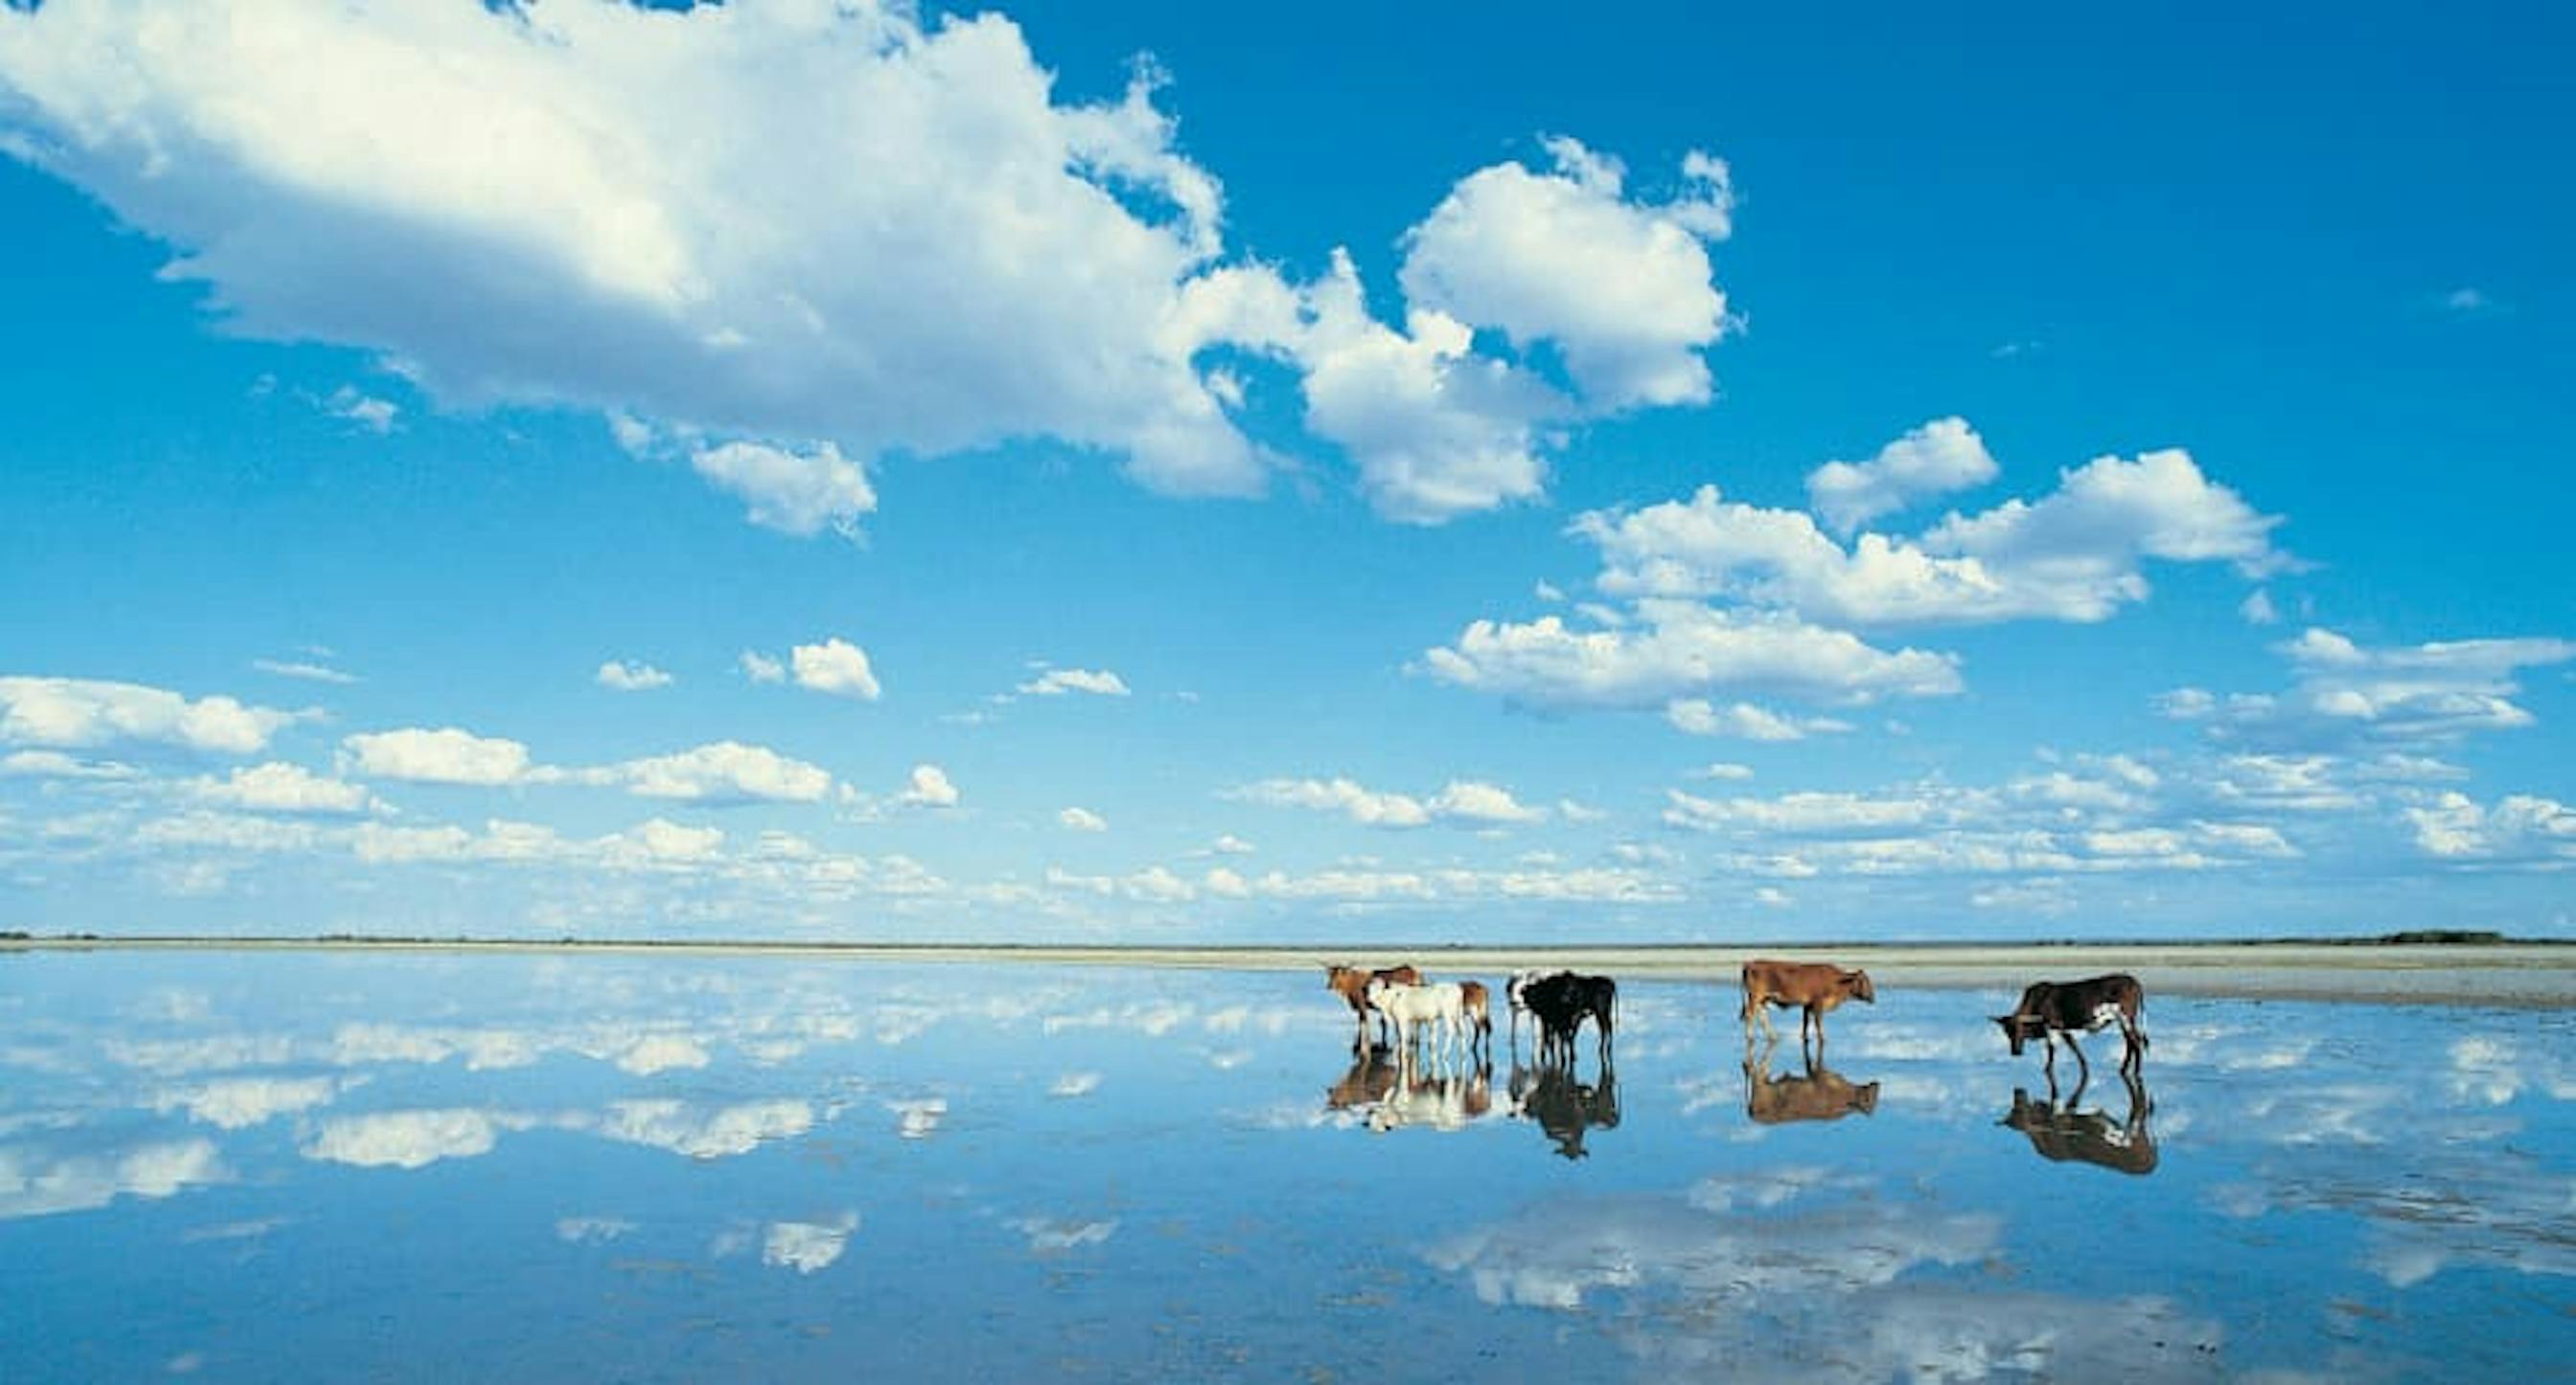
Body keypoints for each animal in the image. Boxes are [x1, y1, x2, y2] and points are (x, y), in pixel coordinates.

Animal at [1741, 958, 1885, 1045]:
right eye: (1864, 981)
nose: (1872, 997)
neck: (1837, 981)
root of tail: (1751, 963)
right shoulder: (1817, 1004)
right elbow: (1818, 1022)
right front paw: (1822, 1038)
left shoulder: (1807, 1005)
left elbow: (1806, 1022)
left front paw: (1805, 1037)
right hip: (1755, 997)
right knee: (1750, 1014)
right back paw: (1750, 1037)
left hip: (1763, 999)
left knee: (1762, 1016)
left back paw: (1773, 1037)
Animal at [1741, 1045, 1885, 1122]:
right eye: (1867, 1100)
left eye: (1876, 1098)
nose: (1877, 1085)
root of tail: (1751, 1114)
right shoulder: (1820, 1075)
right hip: (1760, 1082)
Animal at [1989, 967, 2153, 1075]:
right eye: (2007, 1032)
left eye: (2020, 1028)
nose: (2015, 1052)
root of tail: (2132, 980)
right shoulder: (2063, 1028)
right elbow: (2074, 1046)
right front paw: (2084, 1066)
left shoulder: (2052, 1026)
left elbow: (2051, 1050)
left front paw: (2047, 1069)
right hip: (2123, 1021)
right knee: (2130, 1042)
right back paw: (2123, 1069)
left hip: (2126, 1018)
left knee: (2135, 1042)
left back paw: (2136, 1072)